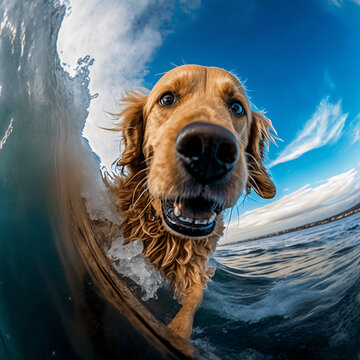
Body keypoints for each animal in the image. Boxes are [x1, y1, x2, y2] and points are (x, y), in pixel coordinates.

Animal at [108, 65, 274, 340]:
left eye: (237, 107)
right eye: (167, 99)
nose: (209, 148)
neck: (167, 239)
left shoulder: (196, 272)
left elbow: (192, 302)